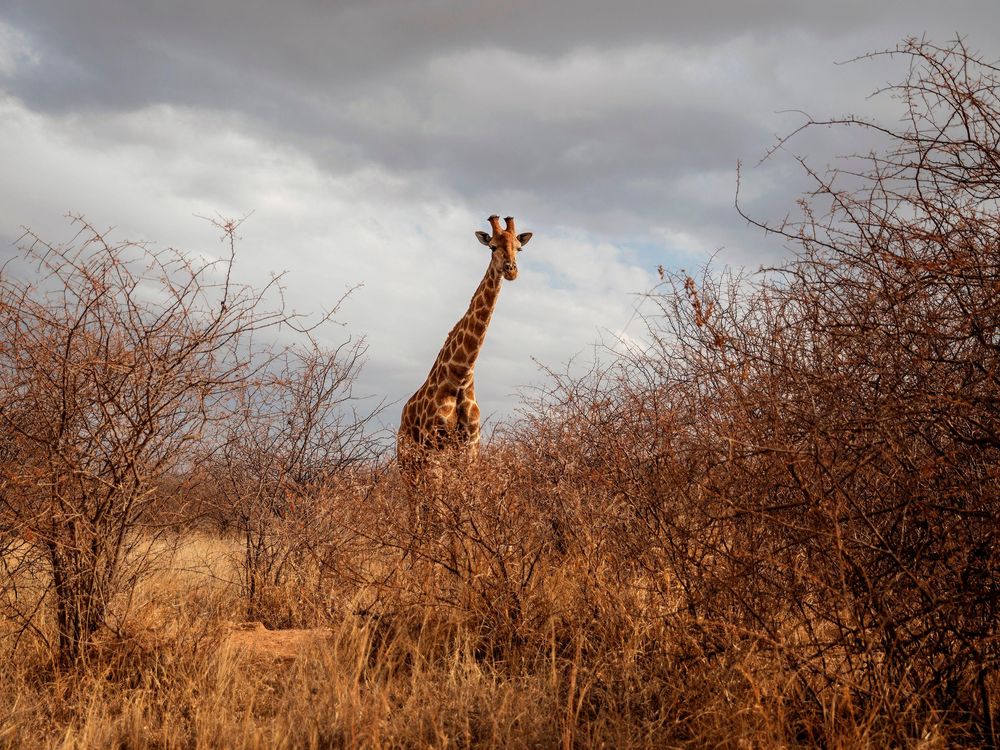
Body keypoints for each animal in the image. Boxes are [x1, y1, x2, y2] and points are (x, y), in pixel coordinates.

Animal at [400, 213, 536, 470]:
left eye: (519, 248)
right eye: (492, 247)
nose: (511, 270)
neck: (460, 377)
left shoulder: (471, 447)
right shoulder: (434, 450)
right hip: (408, 461)